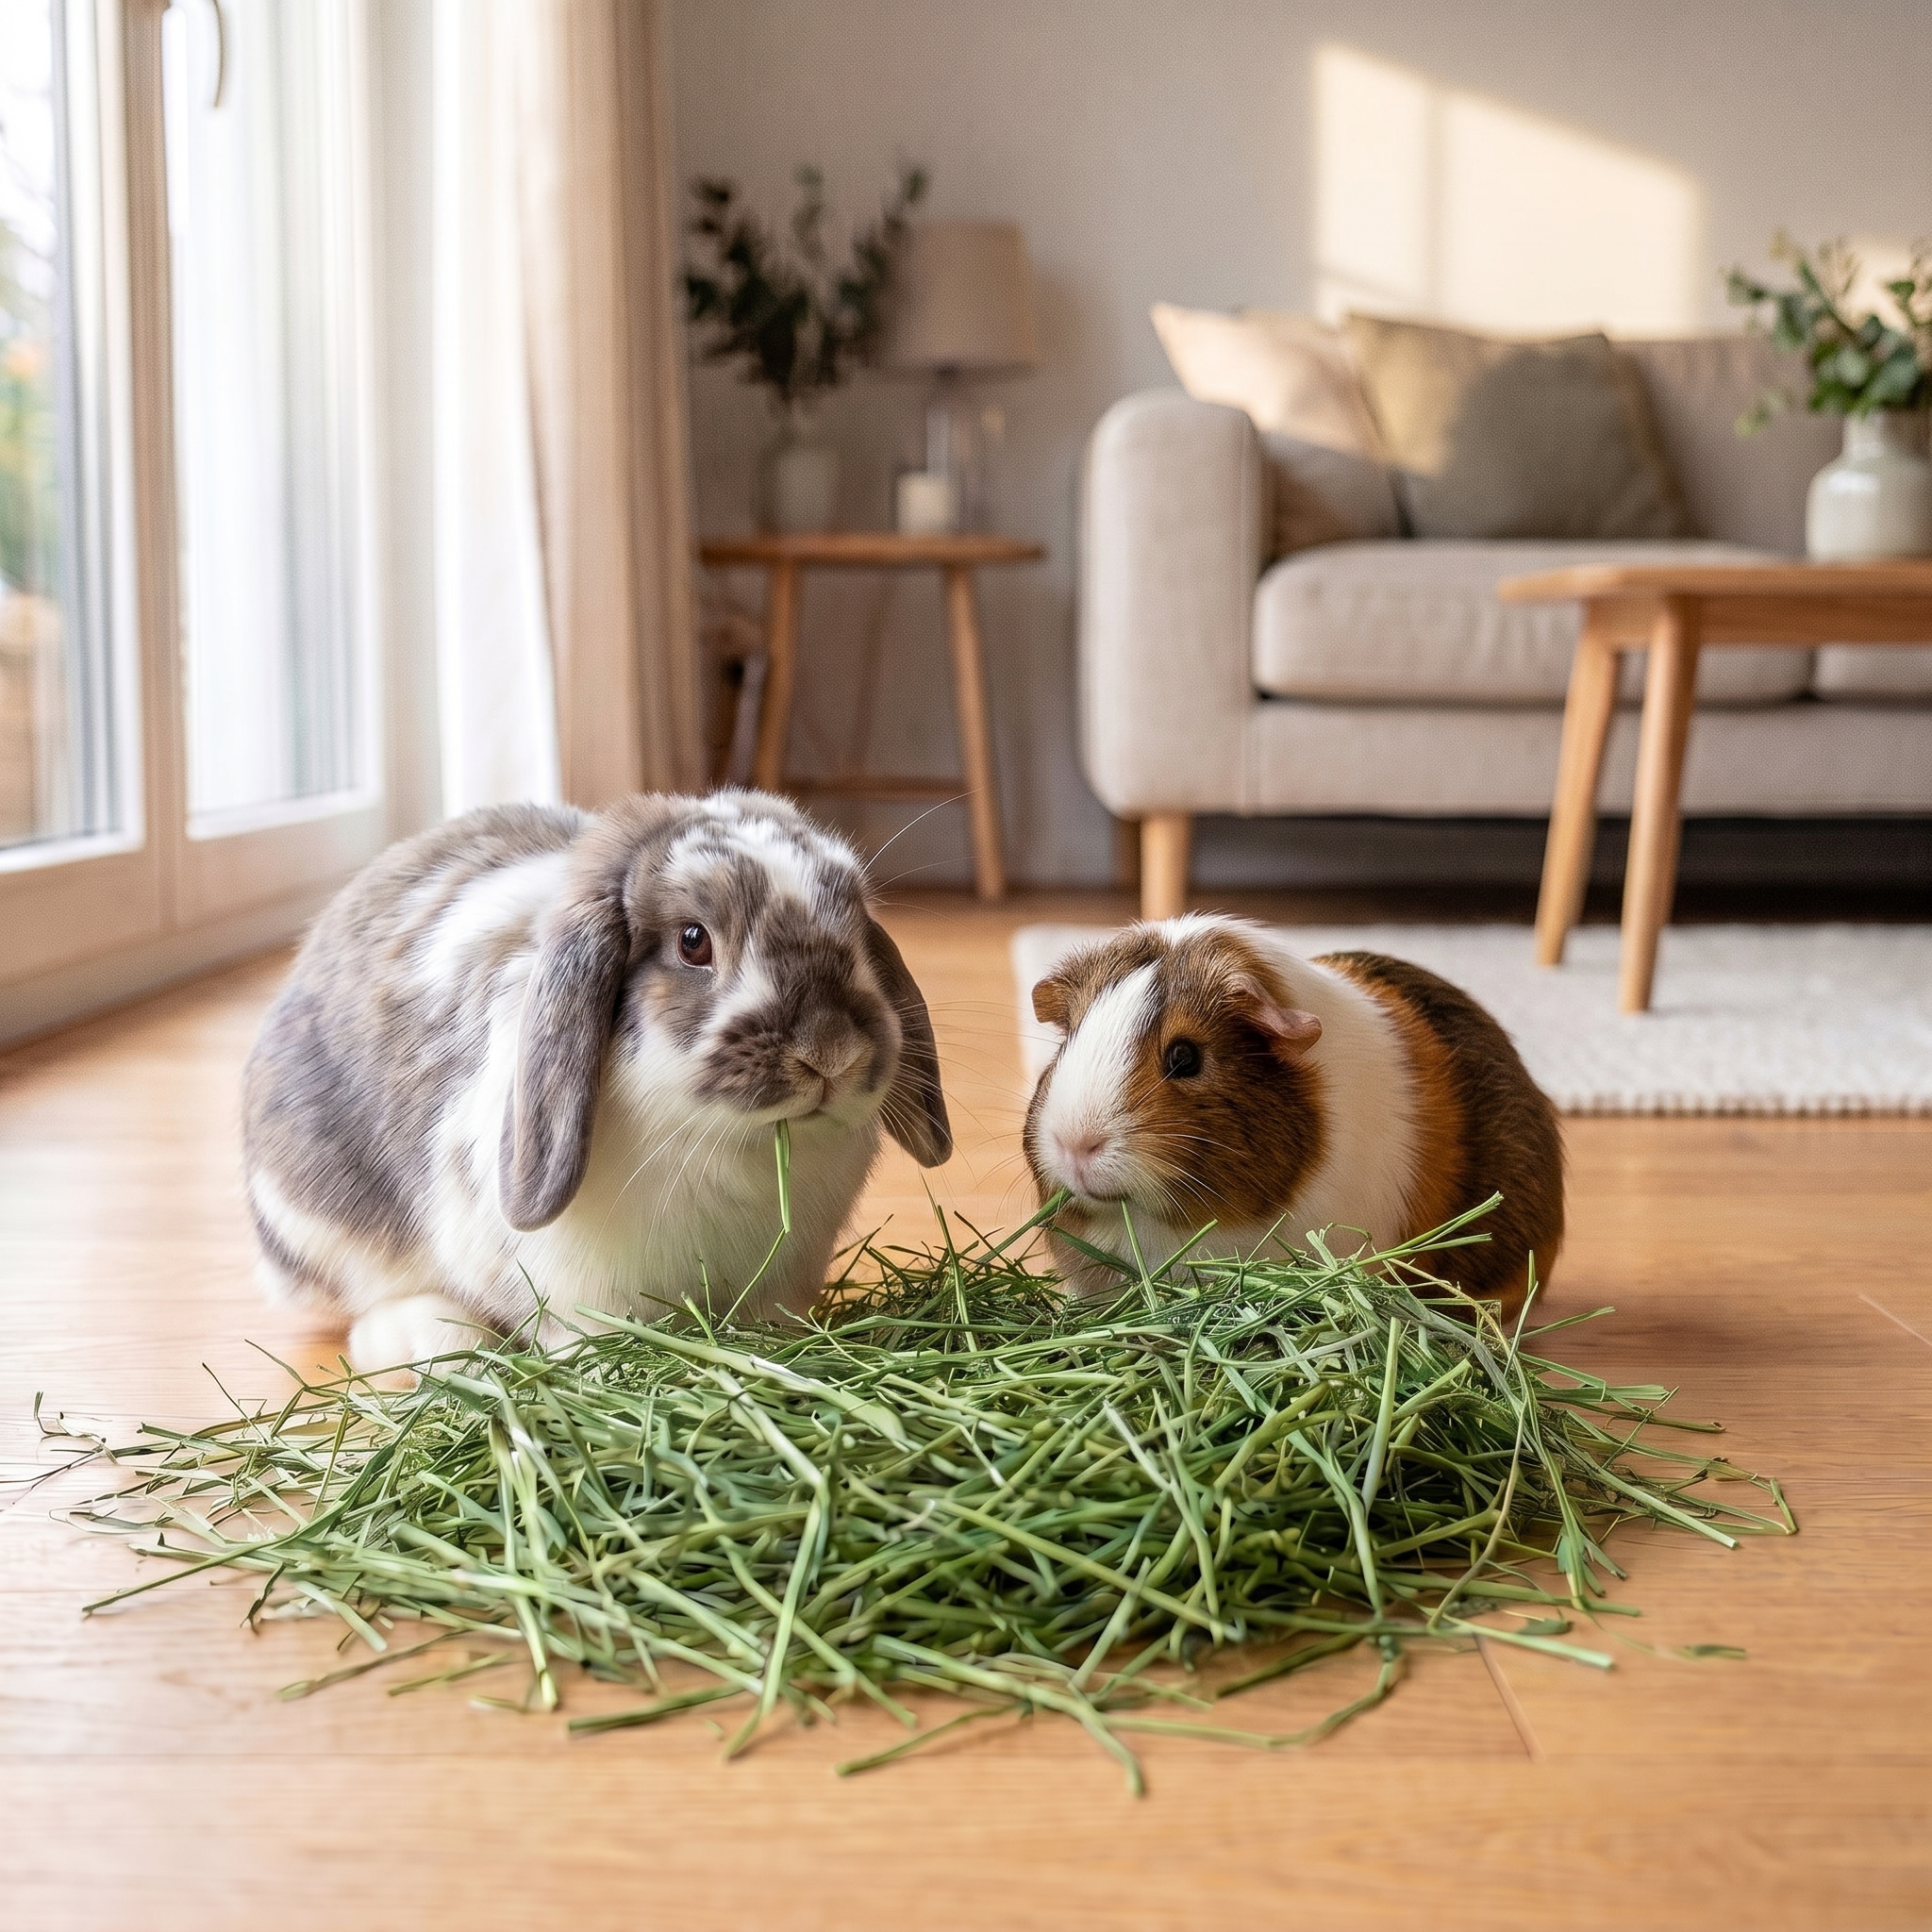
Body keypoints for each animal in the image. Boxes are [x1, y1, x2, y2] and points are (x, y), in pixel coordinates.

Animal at [242, 789, 951, 1371]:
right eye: (693, 941)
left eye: (856, 930)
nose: (829, 1050)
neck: (733, 1145)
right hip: (324, 1224)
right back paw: (439, 1341)